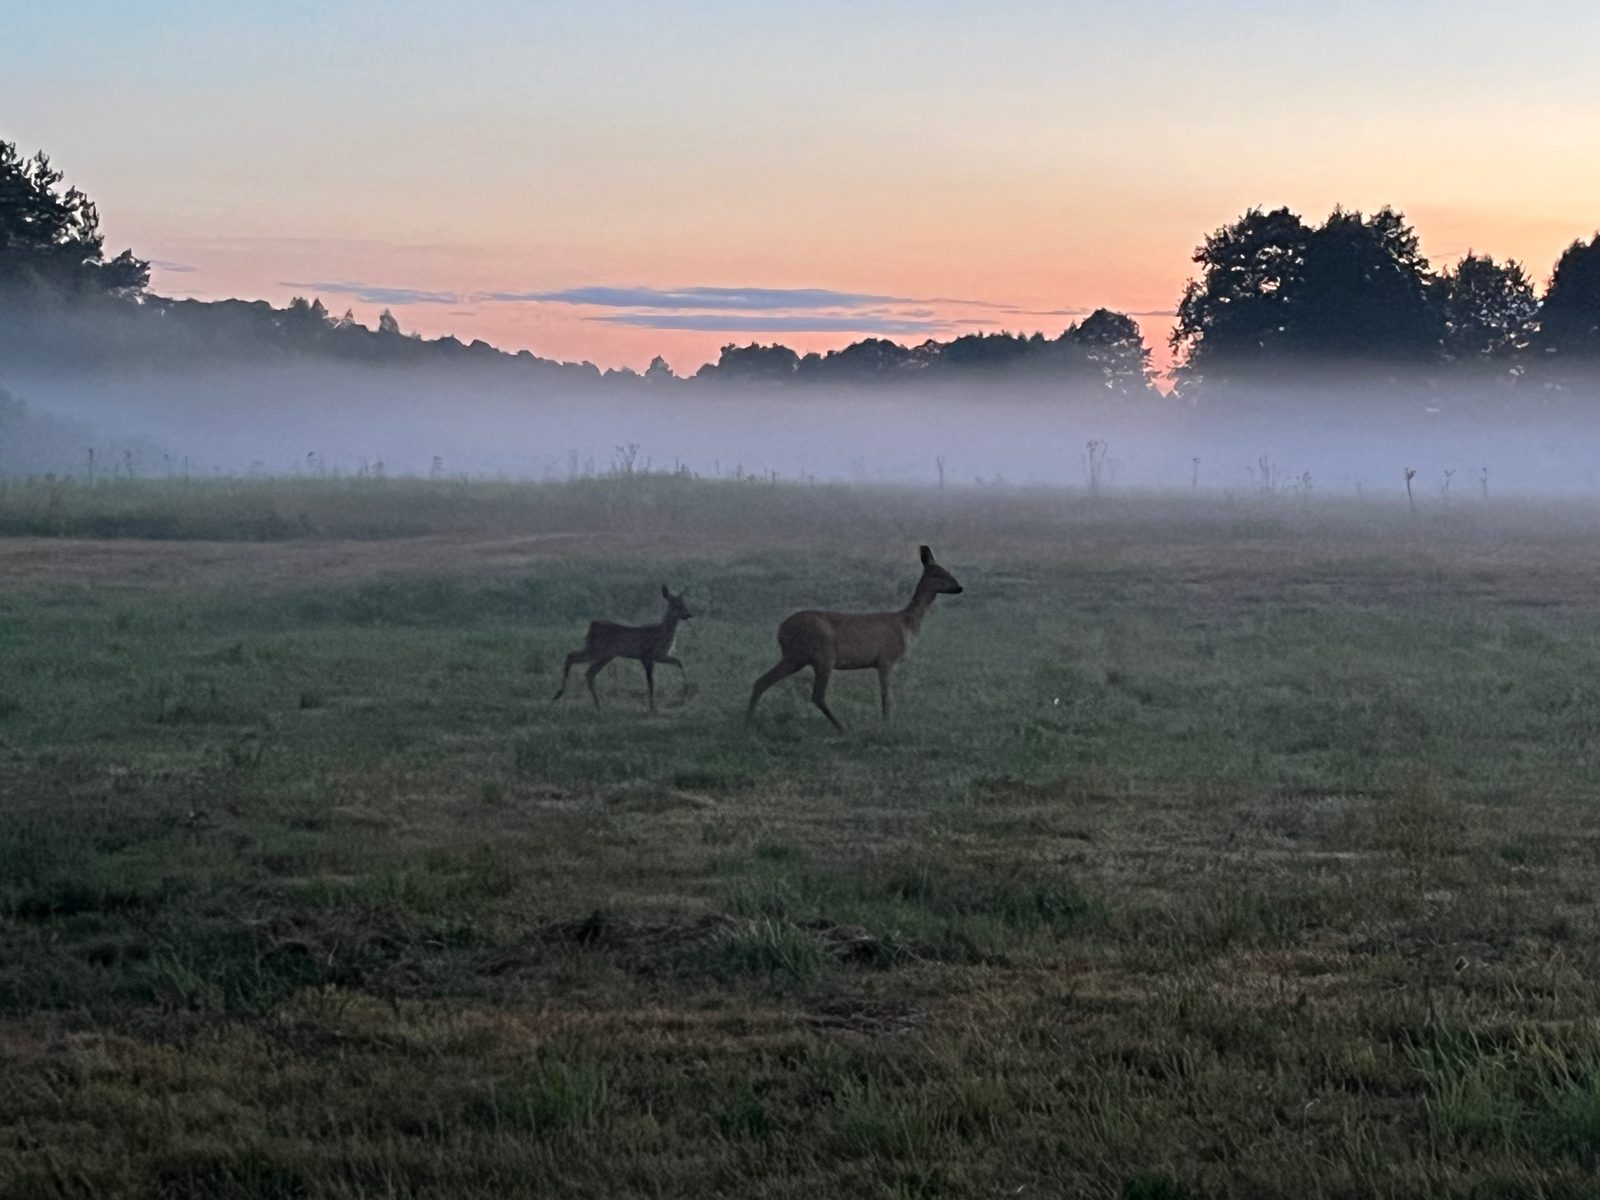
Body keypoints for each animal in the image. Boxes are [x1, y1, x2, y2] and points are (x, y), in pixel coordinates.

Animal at [553, 585, 693, 713]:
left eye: (684, 603)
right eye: (676, 604)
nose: (688, 614)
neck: (662, 632)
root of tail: (592, 625)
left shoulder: (660, 656)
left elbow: (679, 662)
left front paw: (686, 690)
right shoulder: (646, 656)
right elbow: (650, 682)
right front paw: (652, 707)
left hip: (604, 654)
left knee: (588, 671)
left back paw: (598, 706)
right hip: (597, 650)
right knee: (573, 657)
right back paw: (559, 694)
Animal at [746, 545, 963, 731]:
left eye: (947, 571)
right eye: (939, 574)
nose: (959, 587)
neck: (906, 624)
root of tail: (781, 630)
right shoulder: (886, 659)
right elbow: (886, 696)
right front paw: (887, 723)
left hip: (795, 657)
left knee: (762, 681)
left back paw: (749, 719)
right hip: (822, 655)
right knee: (817, 695)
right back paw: (842, 727)